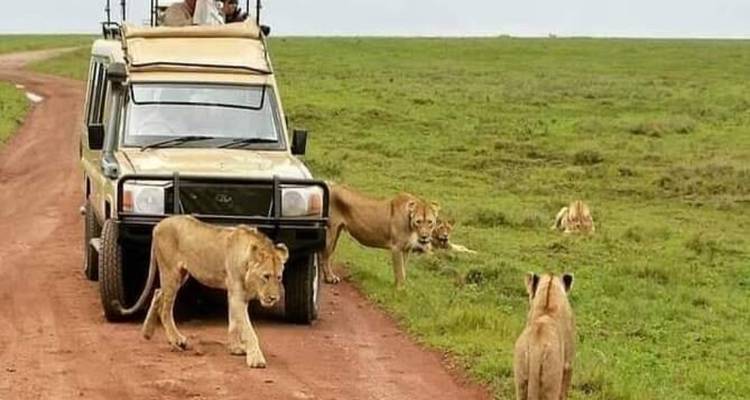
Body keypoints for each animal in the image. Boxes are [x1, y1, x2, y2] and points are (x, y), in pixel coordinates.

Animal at [116, 215, 288, 368]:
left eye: (279, 277)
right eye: (266, 276)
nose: (274, 298)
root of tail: (158, 225)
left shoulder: (236, 295)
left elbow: (234, 322)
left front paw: (235, 348)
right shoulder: (237, 295)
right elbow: (248, 330)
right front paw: (256, 359)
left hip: (181, 274)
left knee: (158, 293)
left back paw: (147, 332)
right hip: (171, 272)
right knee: (165, 308)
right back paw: (176, 339)